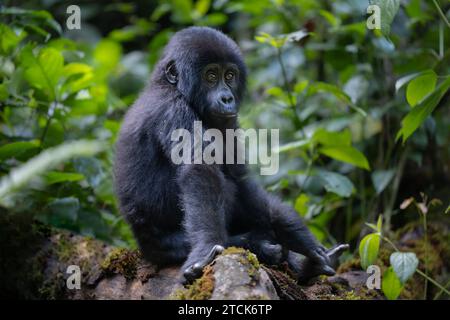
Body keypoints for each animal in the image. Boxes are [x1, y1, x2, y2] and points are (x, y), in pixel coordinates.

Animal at [113, 26, 348, 282]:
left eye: (229, 76)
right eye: (211, 76)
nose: (227, 98)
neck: (172, 86)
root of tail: (144, 247)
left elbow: (241, 179)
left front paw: (300, 237)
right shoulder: (173, 108)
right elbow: (201, 169)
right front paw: (206, 248)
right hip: (166, 245)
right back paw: (259, 246)